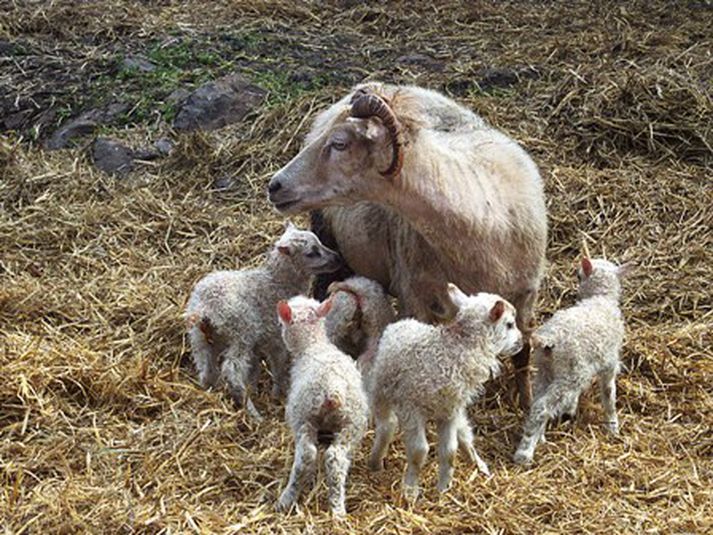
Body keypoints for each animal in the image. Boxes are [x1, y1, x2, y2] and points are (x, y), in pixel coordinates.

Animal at [184, 224, 340, 420]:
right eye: (311, 253)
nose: (337, 258)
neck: (277, 282)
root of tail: (205, 309)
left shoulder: (259, 345)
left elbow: (255, 369)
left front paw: (258, 388)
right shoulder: (276, 339)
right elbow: (278, 365)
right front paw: (278, 393)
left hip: (200, 338)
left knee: (206, 367)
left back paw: (210, 390)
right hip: (240, 331)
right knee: (232, 371)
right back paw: (253, 413)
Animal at [266, 82, 544, 410]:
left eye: (339, 143)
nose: (274, 185)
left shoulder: (526, 296)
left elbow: (523, 352)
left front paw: (527, 403)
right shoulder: (416, 298)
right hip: (328, 240)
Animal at [276, 296, 370, 516]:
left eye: (282, 323)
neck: (313, 345)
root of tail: (332, 386)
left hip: (304, 416)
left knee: (306, 456)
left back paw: (286, 498)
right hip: (352, 423)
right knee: (336, 458)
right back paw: (338, 509)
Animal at [368, 284, 524, 498]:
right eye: (509, 324)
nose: (522, 342)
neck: (453, 350)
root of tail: (405, 322)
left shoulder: (450, 411)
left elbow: (449, 451)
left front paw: (443, 489)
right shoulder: (411, 408)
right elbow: (419, 451)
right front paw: (410, 490)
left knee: (464, 434)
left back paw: (479, 464)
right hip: (381, 390)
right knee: (386, 425)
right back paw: (375, 461)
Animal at [508, 258, 632, 464]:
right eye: (578, 275)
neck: (601, 299)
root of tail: (550, 339)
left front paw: (571, 409)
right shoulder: (610, 363)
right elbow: (609, 394)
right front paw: (613, 427)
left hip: (547, 370)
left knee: (536, 403)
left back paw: (539, 437)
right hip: (570, 375)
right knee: (542, 407)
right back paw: (524, 454)